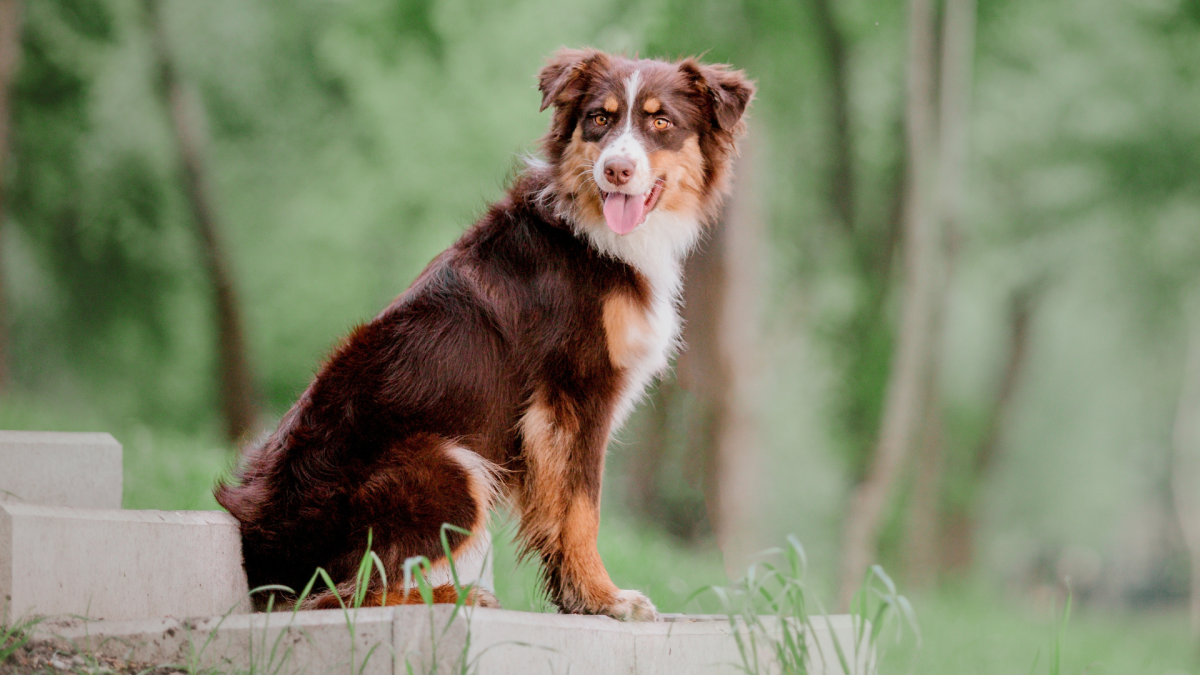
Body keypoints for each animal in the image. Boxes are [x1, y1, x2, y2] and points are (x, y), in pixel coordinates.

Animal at [216, 48, 748, 619]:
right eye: (599, 119)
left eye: (661, 122)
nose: (616, 169)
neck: (590, 231)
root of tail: (254, 546)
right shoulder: (574, 396)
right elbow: (581, 510)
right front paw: (604, 599)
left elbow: (562, 515)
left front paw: (576, 598)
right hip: (451, 466)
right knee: (335, 593)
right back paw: (457, 595)